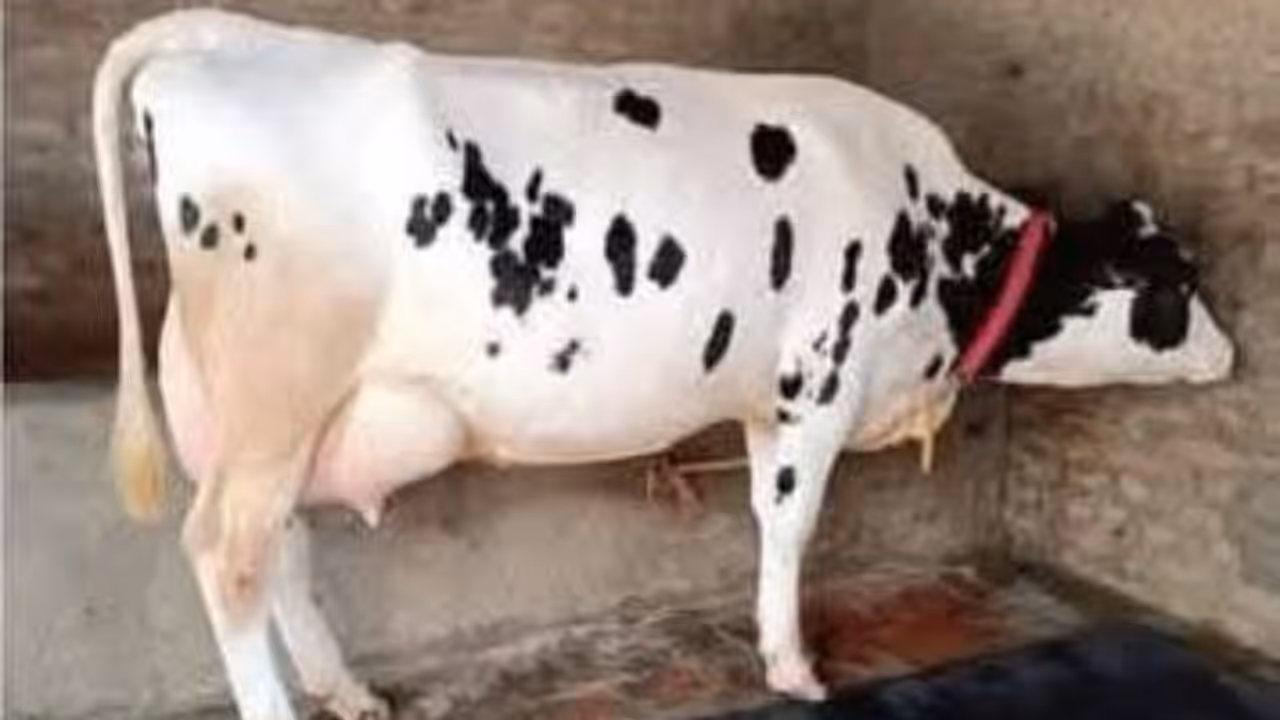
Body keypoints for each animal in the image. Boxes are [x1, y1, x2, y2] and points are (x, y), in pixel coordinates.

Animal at [92, 10, 1235, 719]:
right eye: (1177, 287)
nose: (1231, 354)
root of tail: (230, 35)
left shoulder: (765, 402)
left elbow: (766, 517)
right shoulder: (818, 386)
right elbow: (791, 527)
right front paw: (792, 666)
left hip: (255, 417)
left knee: (278, 550)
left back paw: (346, 691)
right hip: (278, 392)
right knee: (228, 556)